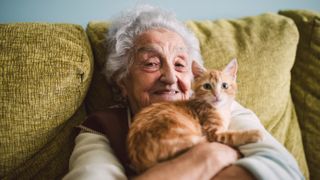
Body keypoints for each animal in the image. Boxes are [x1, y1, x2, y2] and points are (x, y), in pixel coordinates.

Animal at [126, 59, 264, 173]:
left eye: (224, 85)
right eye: (207, 86)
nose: (217, 95)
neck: (219, 110)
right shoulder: (213, 133)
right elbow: (231, 136)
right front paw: (254, 134)